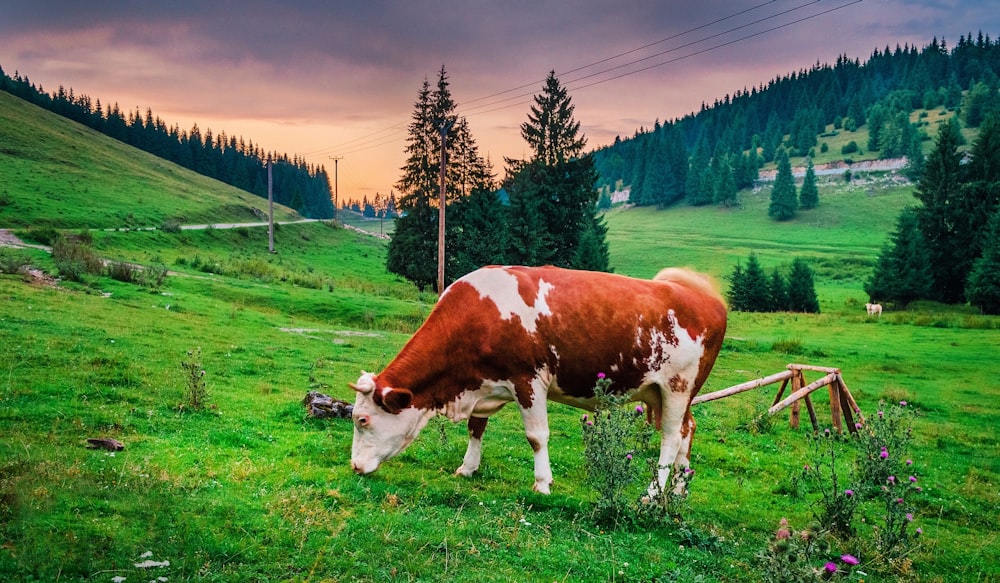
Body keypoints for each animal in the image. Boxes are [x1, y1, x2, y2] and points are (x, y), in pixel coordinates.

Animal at [352, 266, 728, 496]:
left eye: (362, 420)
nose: (354, 466)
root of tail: (705, 297)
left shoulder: (529, 380)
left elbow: (536, 436)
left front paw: (542, 483)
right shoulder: (483, 383)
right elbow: (476, 427)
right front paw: (468, 468)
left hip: (677, 387)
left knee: (670, 438)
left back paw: (652, 493)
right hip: (660, 394)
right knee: (687, 431)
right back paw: (678, 489)